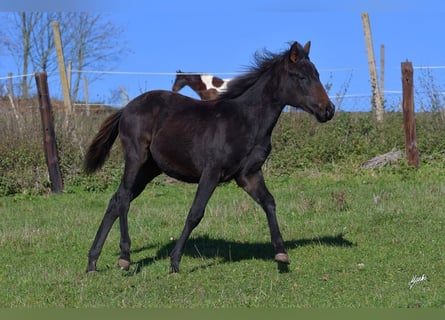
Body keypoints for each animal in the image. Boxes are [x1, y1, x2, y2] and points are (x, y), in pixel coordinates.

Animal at [84, 41, 332, 274]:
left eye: (317, 74)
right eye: (301, 77)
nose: (328, 110)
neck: (246, 121)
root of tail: (126, 108)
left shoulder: (249, 175)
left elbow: (269, 202)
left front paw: (281, 254)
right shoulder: (211, 172)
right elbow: (195, 213)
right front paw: (174, 262)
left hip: (149, 169)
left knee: (115, 200)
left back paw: (92, 262)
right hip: (136, 157)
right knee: (124, 198)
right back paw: (124, 257)